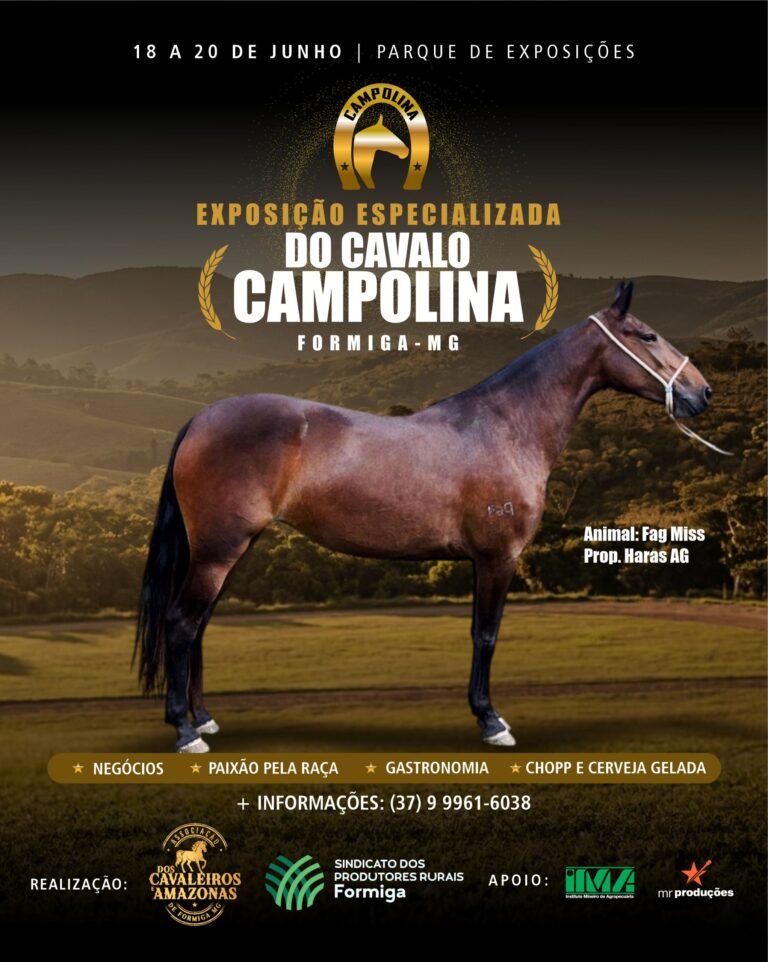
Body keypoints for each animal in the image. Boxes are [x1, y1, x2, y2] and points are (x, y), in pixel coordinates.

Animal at [135, 281, 714, 752]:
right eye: (648, 335)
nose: (702, 391)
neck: (506, 427)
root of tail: (200, 419)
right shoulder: (497, 559)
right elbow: (486, 635)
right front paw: (491, 722)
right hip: (218, 551)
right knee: (181, 624)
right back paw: (185, 731)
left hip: (228, 551)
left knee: (198, 627)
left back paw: (204, 718)